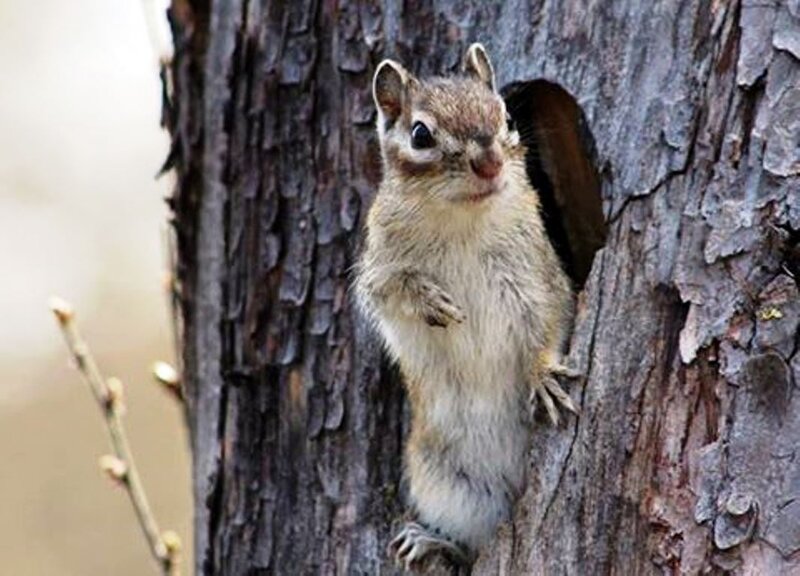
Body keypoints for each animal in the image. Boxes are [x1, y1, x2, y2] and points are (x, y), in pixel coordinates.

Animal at [355, 43, 579, 570]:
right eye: (420, 134)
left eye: (506, 117)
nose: (491, 163)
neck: (463, 219)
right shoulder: (377, 265)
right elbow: (384, 290)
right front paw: (427, 298)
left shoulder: (538, 275)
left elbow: (552, 318)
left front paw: (543, 376)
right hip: (451, 484)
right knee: (474, 543)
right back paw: (431, 541)